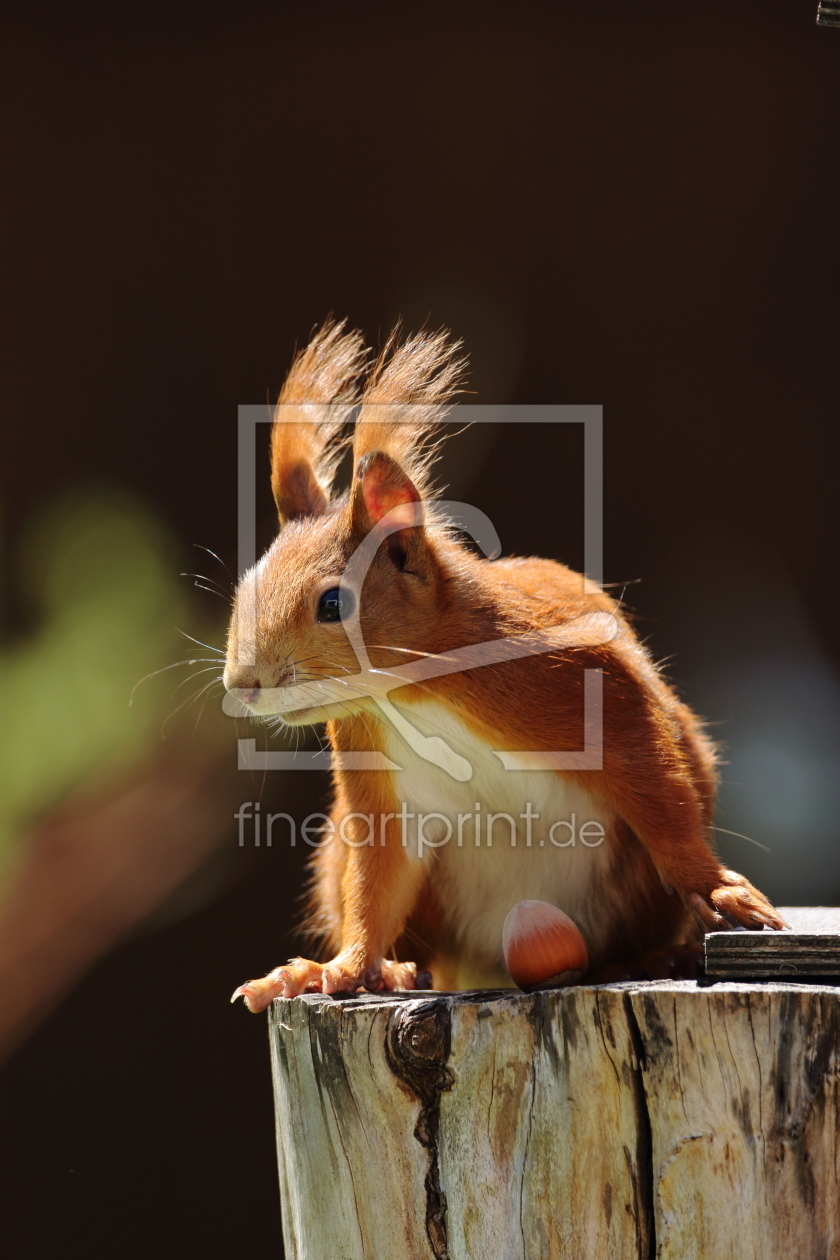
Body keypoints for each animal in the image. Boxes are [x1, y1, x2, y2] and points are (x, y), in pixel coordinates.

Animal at [225, 320, 790, 1008]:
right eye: (246, 585)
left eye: (334, 603)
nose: (242, 684)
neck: (415, 695)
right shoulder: (382, 778)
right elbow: (378, 878)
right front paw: (346, 967)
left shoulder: (590, 685)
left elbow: (659, 795)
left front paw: (718, 890)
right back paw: (374, 972)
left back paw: (654, 955)